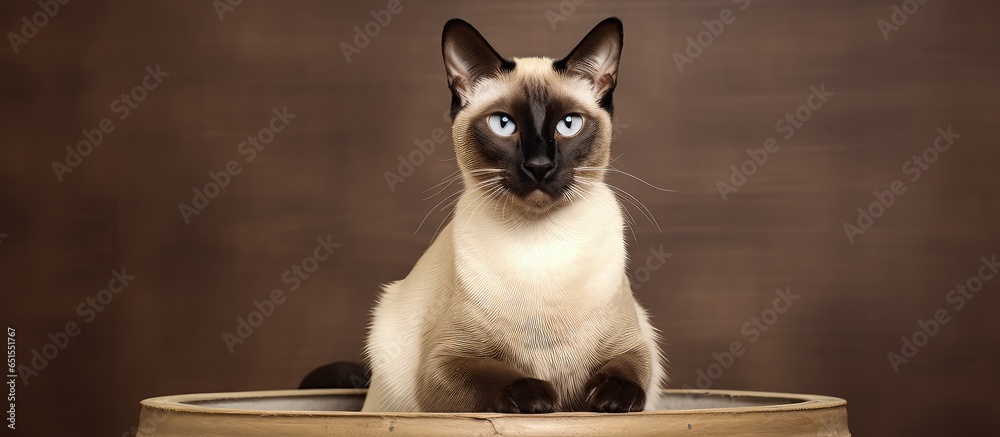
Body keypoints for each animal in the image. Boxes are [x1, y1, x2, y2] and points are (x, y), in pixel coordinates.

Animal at [362, 17, 664, 412]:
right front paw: (540, 397)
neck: (542, 242)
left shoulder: (634, 343)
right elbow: (496, 375)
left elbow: (628, 370)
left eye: (569, 124)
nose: (539, 166)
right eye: (503, 124)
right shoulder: (443, 364)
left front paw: (608, 398)